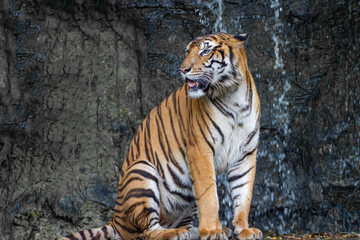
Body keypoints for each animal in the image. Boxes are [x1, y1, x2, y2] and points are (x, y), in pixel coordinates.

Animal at [59, 32, 262, 240]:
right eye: (187, 51)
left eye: (205, 51)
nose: (183, 69)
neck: (232, 96)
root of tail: (116, 218)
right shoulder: (200, 150)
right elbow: (209, 196)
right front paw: (213, 231)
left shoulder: (245, 154)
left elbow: (243, 194)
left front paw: (243, 229)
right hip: (142, 171)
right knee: (148, 232)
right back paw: (177, 233)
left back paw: (193, 231)